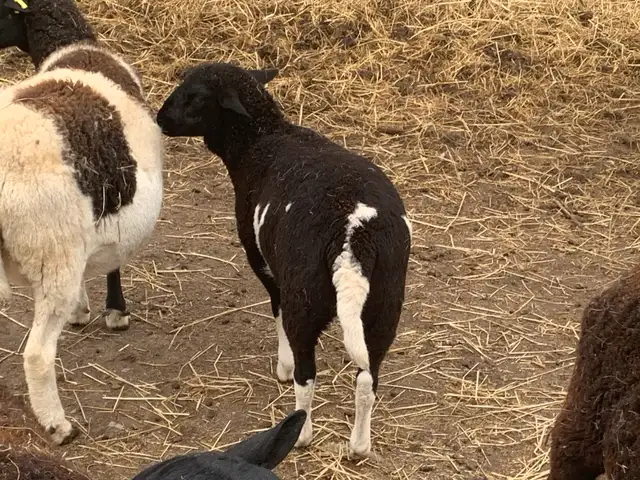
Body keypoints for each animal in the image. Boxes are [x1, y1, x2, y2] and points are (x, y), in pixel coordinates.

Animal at [0, 0, 164, 445]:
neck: (76, 47)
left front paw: (83, 307)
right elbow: (114, 260)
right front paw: (115, 312)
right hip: (51, 253)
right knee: (38, 355)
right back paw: (58, 425)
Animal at [156, 62, 412, 456]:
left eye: (194, 96)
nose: (160, 119)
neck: (262, 139)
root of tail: (354, 237)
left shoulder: (262, 260)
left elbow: (275, 309)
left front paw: (283, 365)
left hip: (304, 299)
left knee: (307, 375)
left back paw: (301, 432)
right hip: (384, 305)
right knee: (368, 378)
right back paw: (359, 446)